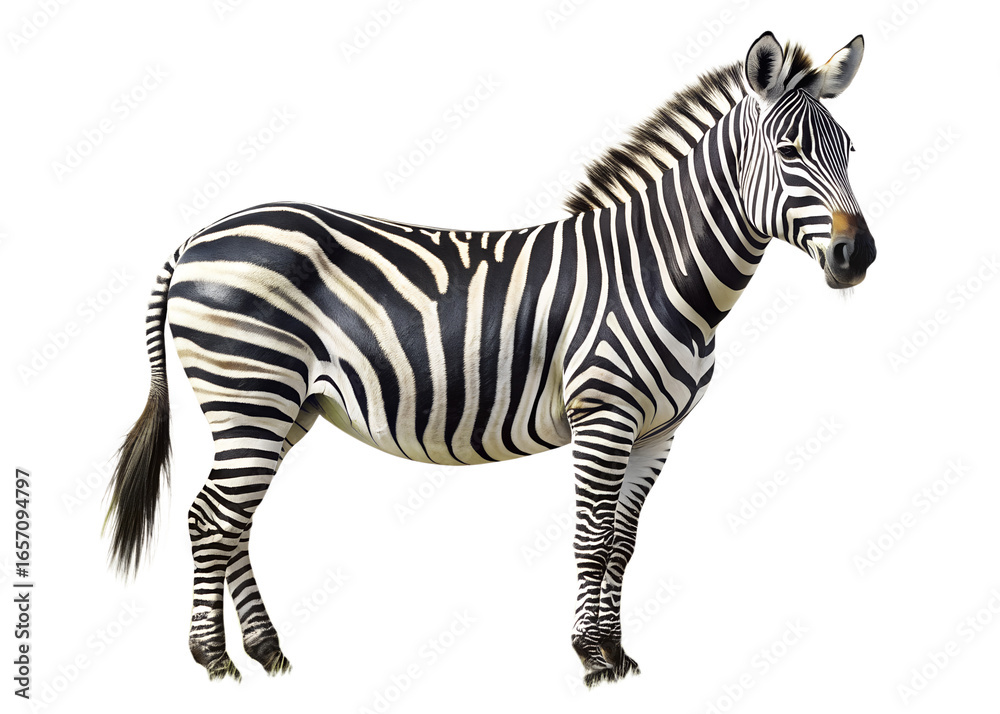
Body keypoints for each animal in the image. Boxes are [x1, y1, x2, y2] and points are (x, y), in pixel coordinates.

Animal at [104, 31, 875, 685]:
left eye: (848, 151)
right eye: (790, 152)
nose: (857, 256)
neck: (660, 273)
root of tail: (201, 234)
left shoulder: (659, 431)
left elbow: (623, 543)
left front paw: (618, 653)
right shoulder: (603, 415)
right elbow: (592, 536)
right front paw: (590, 656)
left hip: (284, 407)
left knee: (234, 519)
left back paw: (268, 653)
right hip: (250, 394)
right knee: (211, 518)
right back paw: (215, 661)